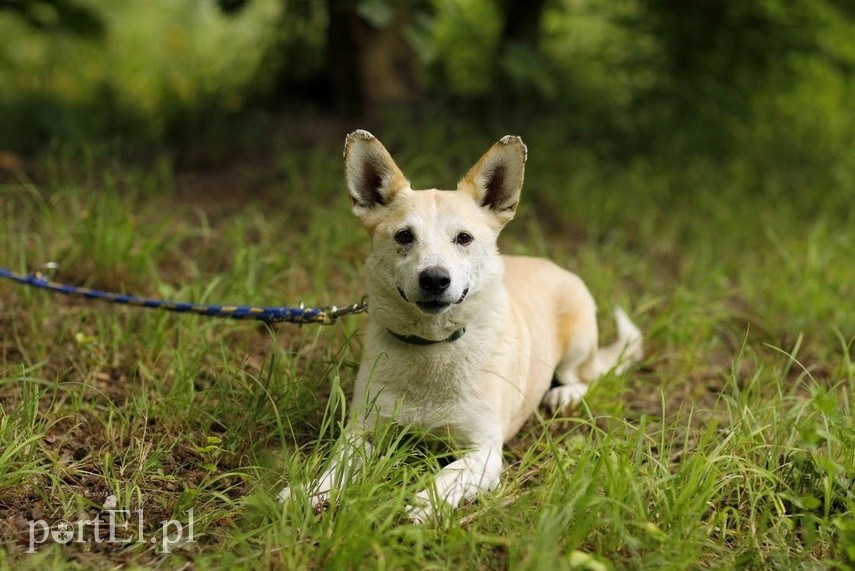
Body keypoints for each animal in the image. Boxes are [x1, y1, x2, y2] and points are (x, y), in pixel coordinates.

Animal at [280, 132, 640, 524]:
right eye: (404, 236)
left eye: (464, 238)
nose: (435, 279)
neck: (432, 345)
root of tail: (547, 263)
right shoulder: (361, 432)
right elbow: (335, 467)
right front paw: (308, 492)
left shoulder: (483, 453)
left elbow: (447, 475)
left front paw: (424, 505)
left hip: (578, 339)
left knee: (583, 377)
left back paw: (564, 395)